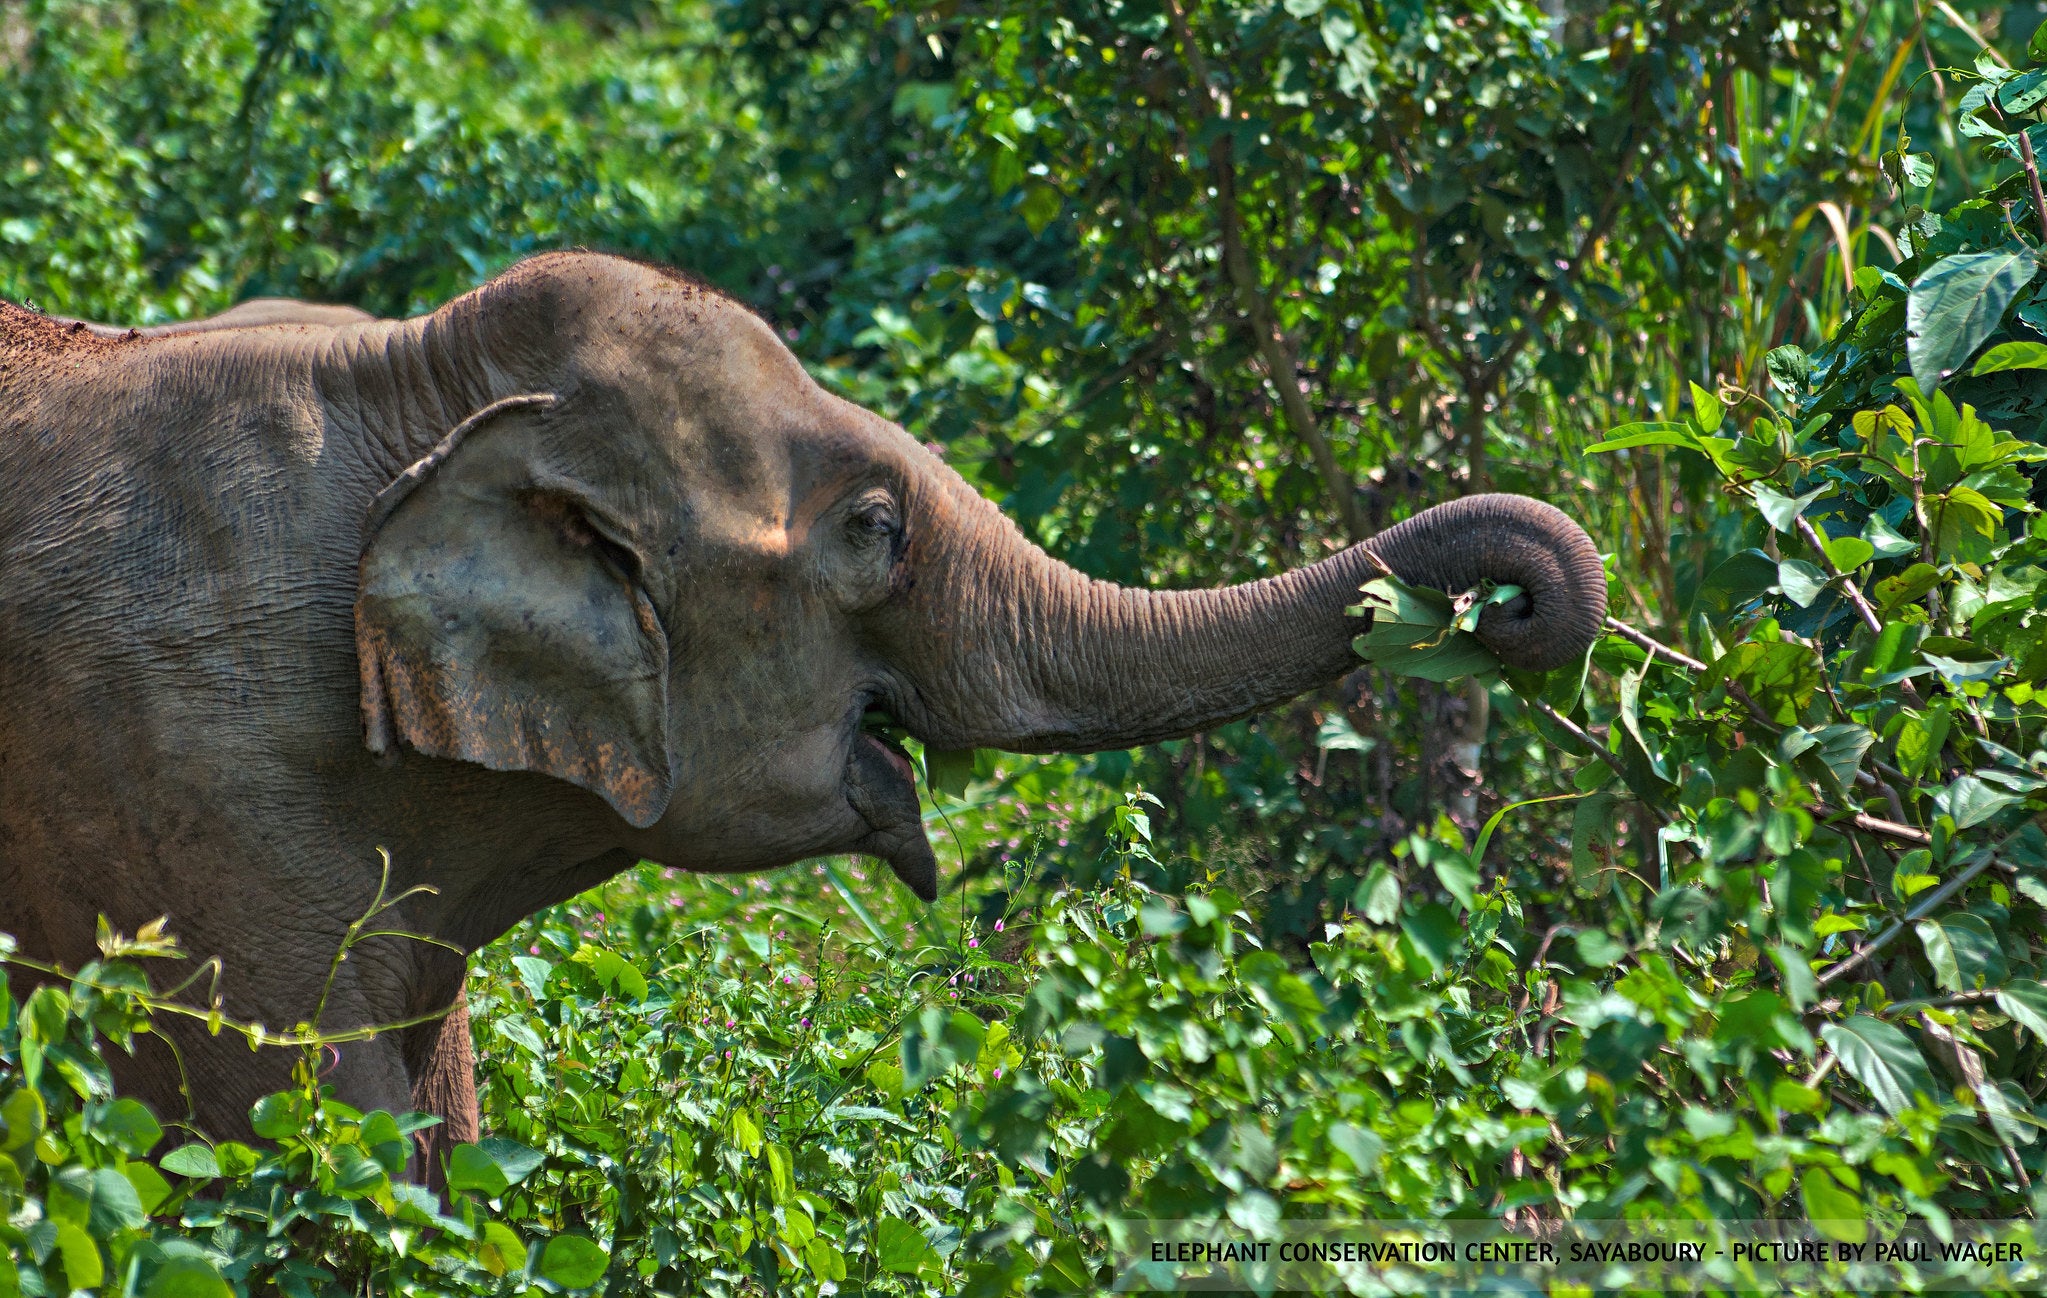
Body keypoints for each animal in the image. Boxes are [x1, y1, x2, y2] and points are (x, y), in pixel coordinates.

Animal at [0, 252, 1596, 1171]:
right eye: (876, 531)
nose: (1512, 606)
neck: (411, 385)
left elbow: (444, 1158)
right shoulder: (181, 803)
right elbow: (312, 1156)